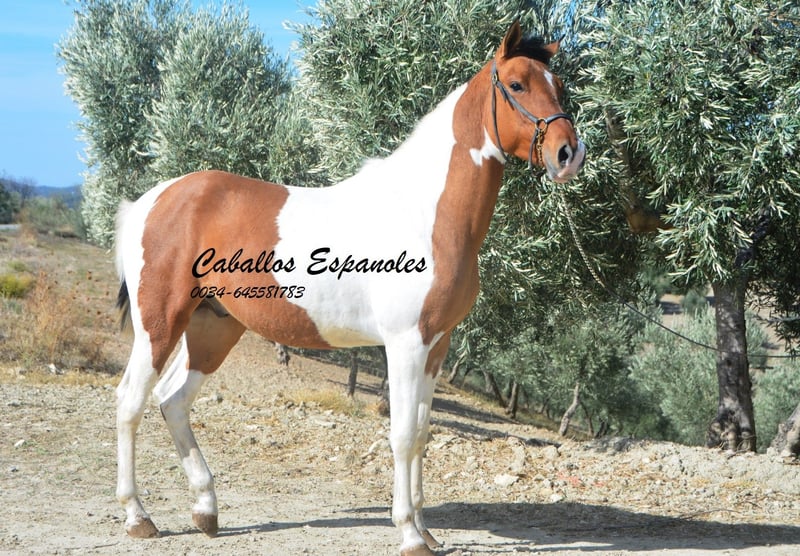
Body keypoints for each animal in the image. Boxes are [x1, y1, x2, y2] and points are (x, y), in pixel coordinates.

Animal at [114, 21, 585, 556]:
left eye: (559, 85)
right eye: (518, 85)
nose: (569, 153)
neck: (424, 211)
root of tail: (151, 201)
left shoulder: (437, 345)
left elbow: (422, 433)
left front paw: (427, 530)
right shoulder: (405, 344)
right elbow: (402, 435)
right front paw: (408, 534)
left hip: (213, 327)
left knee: (172, 400)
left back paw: (206, 511)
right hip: (160, 324)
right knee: (130, 401)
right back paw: (138, 517)